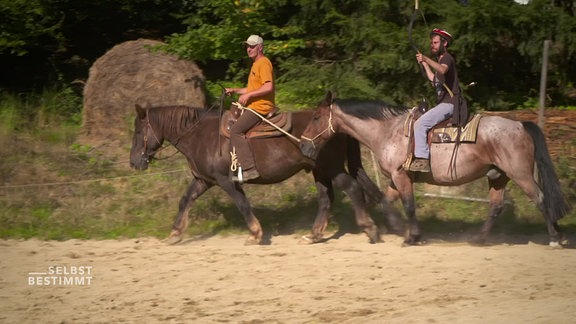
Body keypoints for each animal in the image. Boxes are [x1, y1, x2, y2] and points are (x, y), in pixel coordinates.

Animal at [129, 104, 402, 246]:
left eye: (138, 131)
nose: (134, 162)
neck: (201, 136)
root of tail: (337, 125)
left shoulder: (226, 181)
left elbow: (242, 204)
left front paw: (255, 233)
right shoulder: (204, 180)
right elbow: (185, 200)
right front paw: (175, 233)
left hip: (332, 168)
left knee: (353, 190)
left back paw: (369, 228)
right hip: (320, 171)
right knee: (326, 199)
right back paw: (314, 234)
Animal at [300, 92, 568, 247]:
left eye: (316, 117)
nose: (303, 145)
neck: (388, 131)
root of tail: (520, 125)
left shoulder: (401, 176)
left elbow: (409, 205)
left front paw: (411, 237)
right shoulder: (395, 178)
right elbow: (386, 202)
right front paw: (398, 229)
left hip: (521, 174)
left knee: (540, 198)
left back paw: (555, 238)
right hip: (498, 176)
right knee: (496, 206)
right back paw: (479, 239)